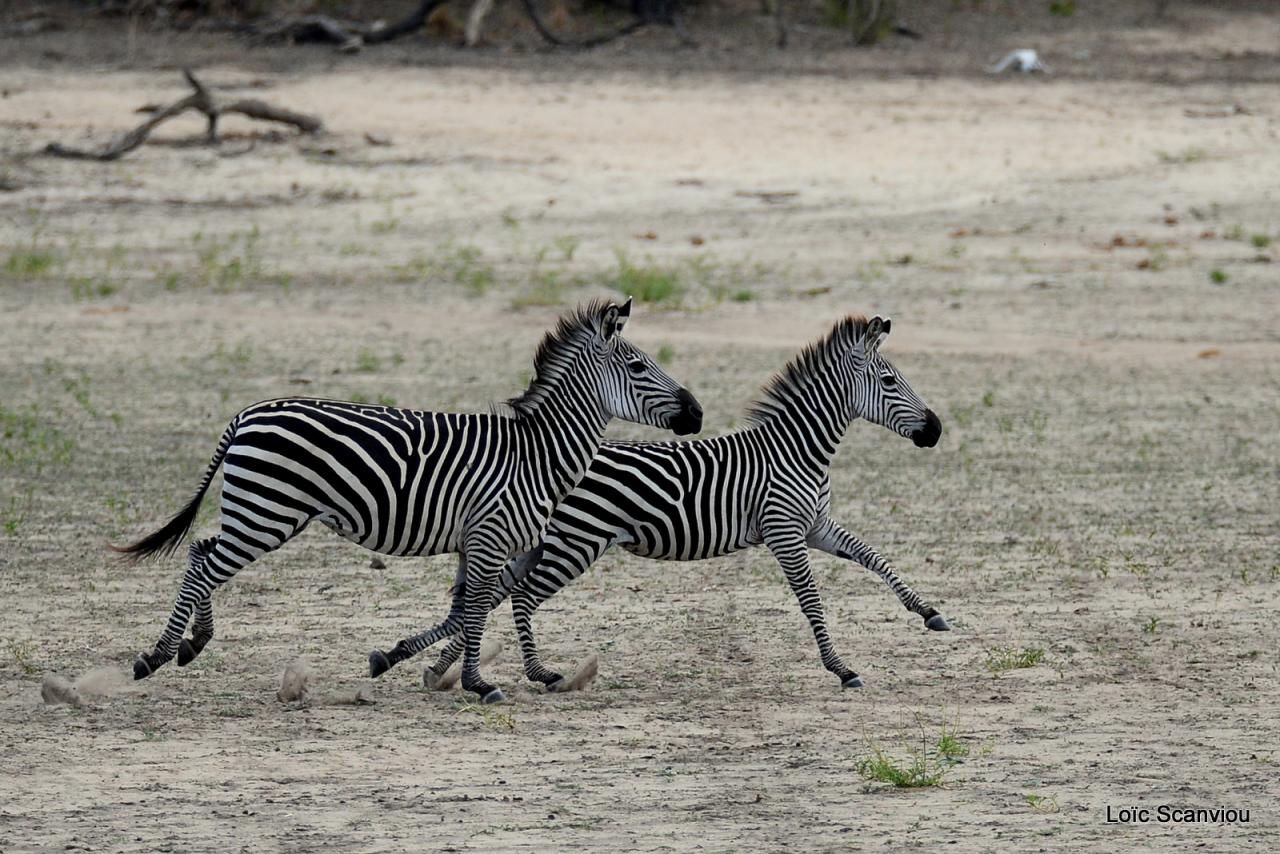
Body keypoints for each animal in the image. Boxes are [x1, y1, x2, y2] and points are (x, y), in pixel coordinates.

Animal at [115, 297, 706, 706]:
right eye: (638, 368)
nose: (698, 414)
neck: (537, 454)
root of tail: (247, 413)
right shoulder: (490, 533)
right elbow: (475, 607)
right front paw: (478, 683)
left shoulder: (479, 539)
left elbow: (466, 606)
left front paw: (420, 664)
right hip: (267, 512)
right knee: (203, 566)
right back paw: (155, 656)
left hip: (258, 510)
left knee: (200, 554)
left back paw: (191, 643)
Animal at [414, 316, 947, 696]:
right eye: (888, 380)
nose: (936, 429)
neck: (796, 450)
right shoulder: (785, 531)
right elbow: (811, 600)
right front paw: (842, 669)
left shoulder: (814, 525)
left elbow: (874, 557)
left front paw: (928, 612)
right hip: (576, 543)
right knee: (517, 595)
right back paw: (537, 675)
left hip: (546, 542)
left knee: (489, 593)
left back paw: (436, 668)